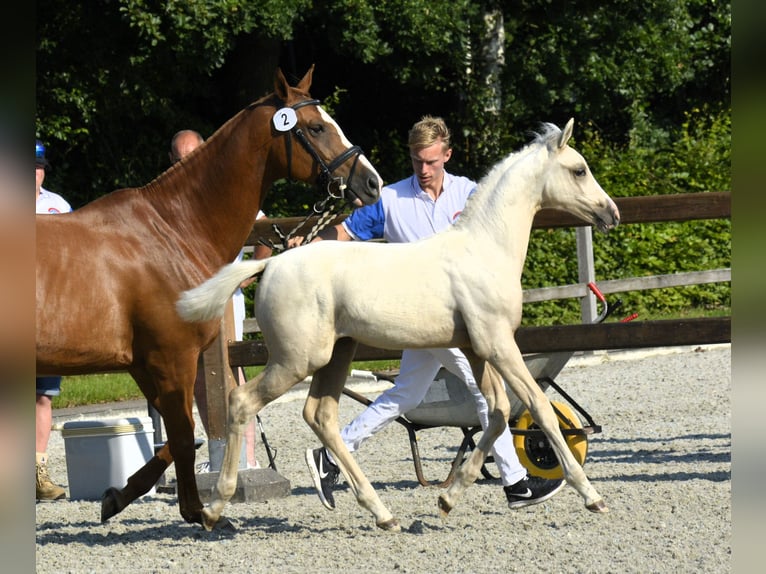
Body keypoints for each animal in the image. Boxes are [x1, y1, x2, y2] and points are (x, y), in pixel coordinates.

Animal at [36, 65, 384, 528]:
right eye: (315, 127)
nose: (372, 182)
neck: (172, 230)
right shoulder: (174, 358)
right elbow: (184, 436)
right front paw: (199, 512)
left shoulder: (145, 363)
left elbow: (178, 438)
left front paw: (117, 497)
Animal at [177, 119, 620, 532]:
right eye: (579, 170)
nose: (611, 213)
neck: (485, 250)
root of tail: (271, 263)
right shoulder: (498, 344)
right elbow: (540, 408)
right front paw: (592, 497)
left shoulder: (478, 349)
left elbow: (496, 413)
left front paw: (448, 500)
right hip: (297, 359)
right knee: (242, 401)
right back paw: (215, 509)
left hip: (337, 354)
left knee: (320, 415)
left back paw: (382, 513)